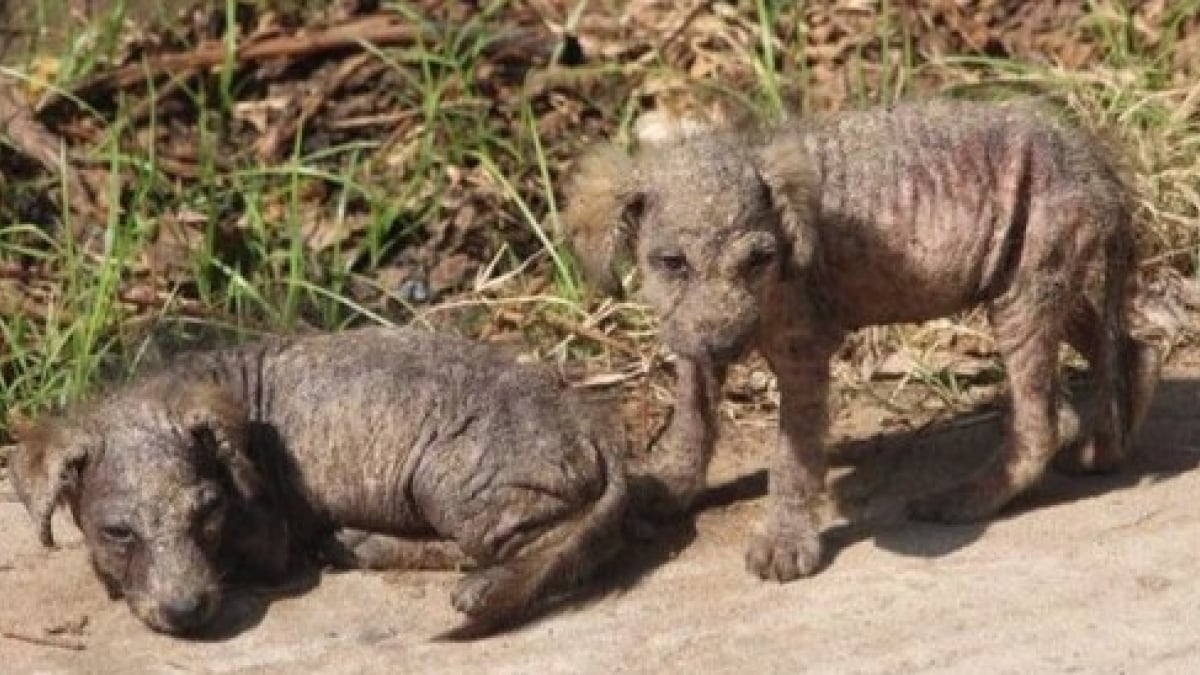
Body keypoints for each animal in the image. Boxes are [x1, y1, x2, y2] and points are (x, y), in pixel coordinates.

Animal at [9, 326, 628, 634]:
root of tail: (592, 424)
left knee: (558, 543)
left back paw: (482, 583)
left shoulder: (270, 537)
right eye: (118, 533)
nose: (186, 613)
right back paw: (360, 543)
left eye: (208, 511)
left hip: (449, 476)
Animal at [566, 98, 1156, 578]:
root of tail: (1099, 165)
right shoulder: (692, 333)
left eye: (759, 260)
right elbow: (693, 414)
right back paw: (1107, 442)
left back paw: (965, 500)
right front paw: (671, 487)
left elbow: (794, 455)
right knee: (1128, 349)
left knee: (1042, 422)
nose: (723, 346)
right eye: (671, 263)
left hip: (1030, 280)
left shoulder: (804, 351)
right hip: (1030, 273)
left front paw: (785, 542)